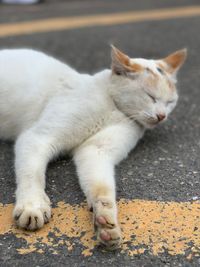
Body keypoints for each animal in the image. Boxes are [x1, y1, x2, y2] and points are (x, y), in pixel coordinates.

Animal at [0, 45, 186, 249]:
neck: (113, 107)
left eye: (170, 102)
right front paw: (32, 206)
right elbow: (32, 175)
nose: (162, 116)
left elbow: (101, 187)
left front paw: (105, 222)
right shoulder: (38, 138)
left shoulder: (96, 151)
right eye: (150, 96)